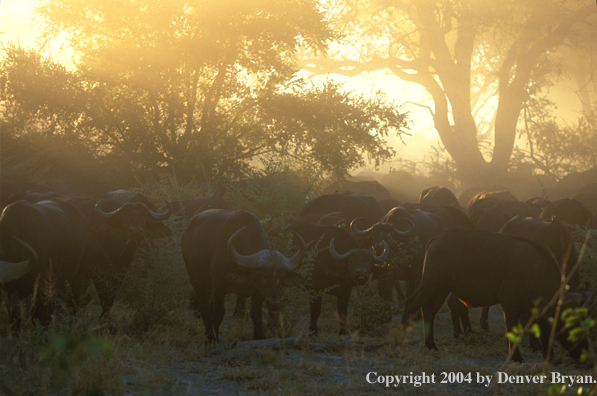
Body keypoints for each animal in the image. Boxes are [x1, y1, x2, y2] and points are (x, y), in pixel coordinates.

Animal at [183, 209, 304, 342]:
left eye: (280, 277)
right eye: (261, 275)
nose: (274, 304)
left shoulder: (259, 292)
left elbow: (256, 314)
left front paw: (259, 336)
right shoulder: (219, 286)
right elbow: (218, 312)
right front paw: (214, 338)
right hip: (195, 278)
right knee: (203, 305)